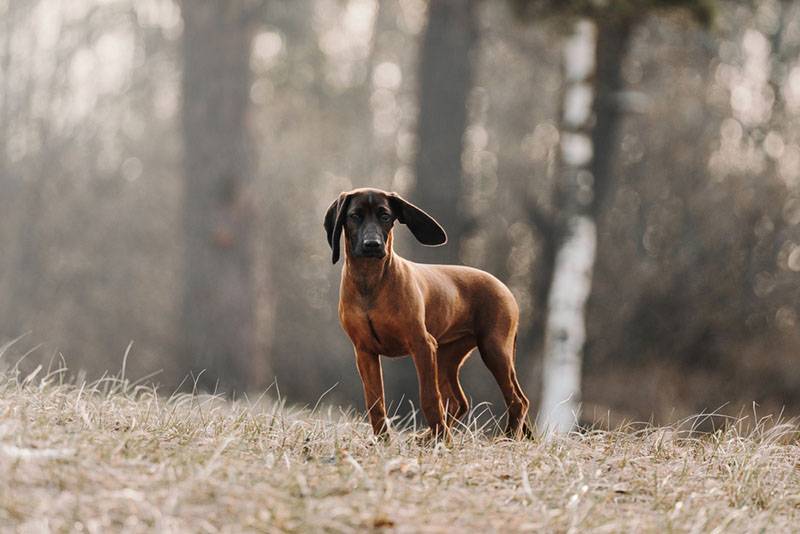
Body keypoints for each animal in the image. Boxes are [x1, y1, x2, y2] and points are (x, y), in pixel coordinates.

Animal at [324, 188, 532, 440]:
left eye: (385, 216)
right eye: (354, 216)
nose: (372, 245)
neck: (370, 283)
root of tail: (505, 288)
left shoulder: (422, 345)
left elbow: (430, 399)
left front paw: (443, 441)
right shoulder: (364, 352)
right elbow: (375, 403)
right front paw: (383, 441)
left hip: (493, 349)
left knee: (517, 401)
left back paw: (506, 439)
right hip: (446, 356)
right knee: (458, 402)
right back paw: (427, 438)